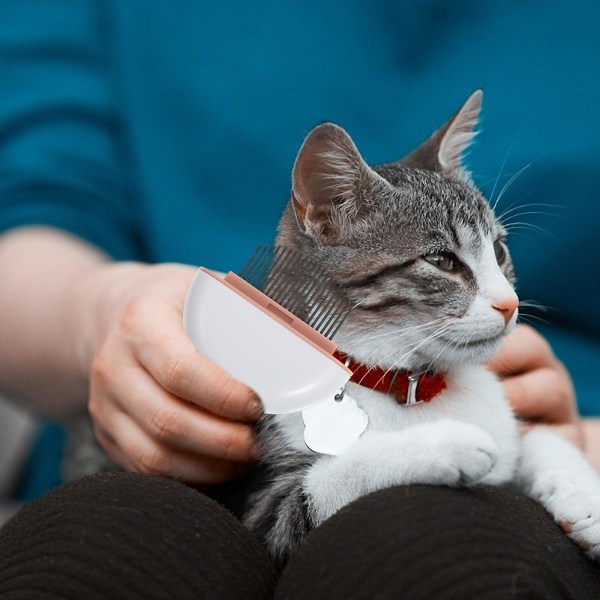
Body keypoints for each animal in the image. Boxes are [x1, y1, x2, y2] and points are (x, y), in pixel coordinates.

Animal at [243, 92, 600, 568]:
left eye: (499, 251)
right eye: (442, 261)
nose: (509, 304)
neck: (414, 383)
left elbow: (538, 437)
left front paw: (586, 500)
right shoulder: (263, 510)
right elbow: (326, 480)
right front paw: (445, 443)